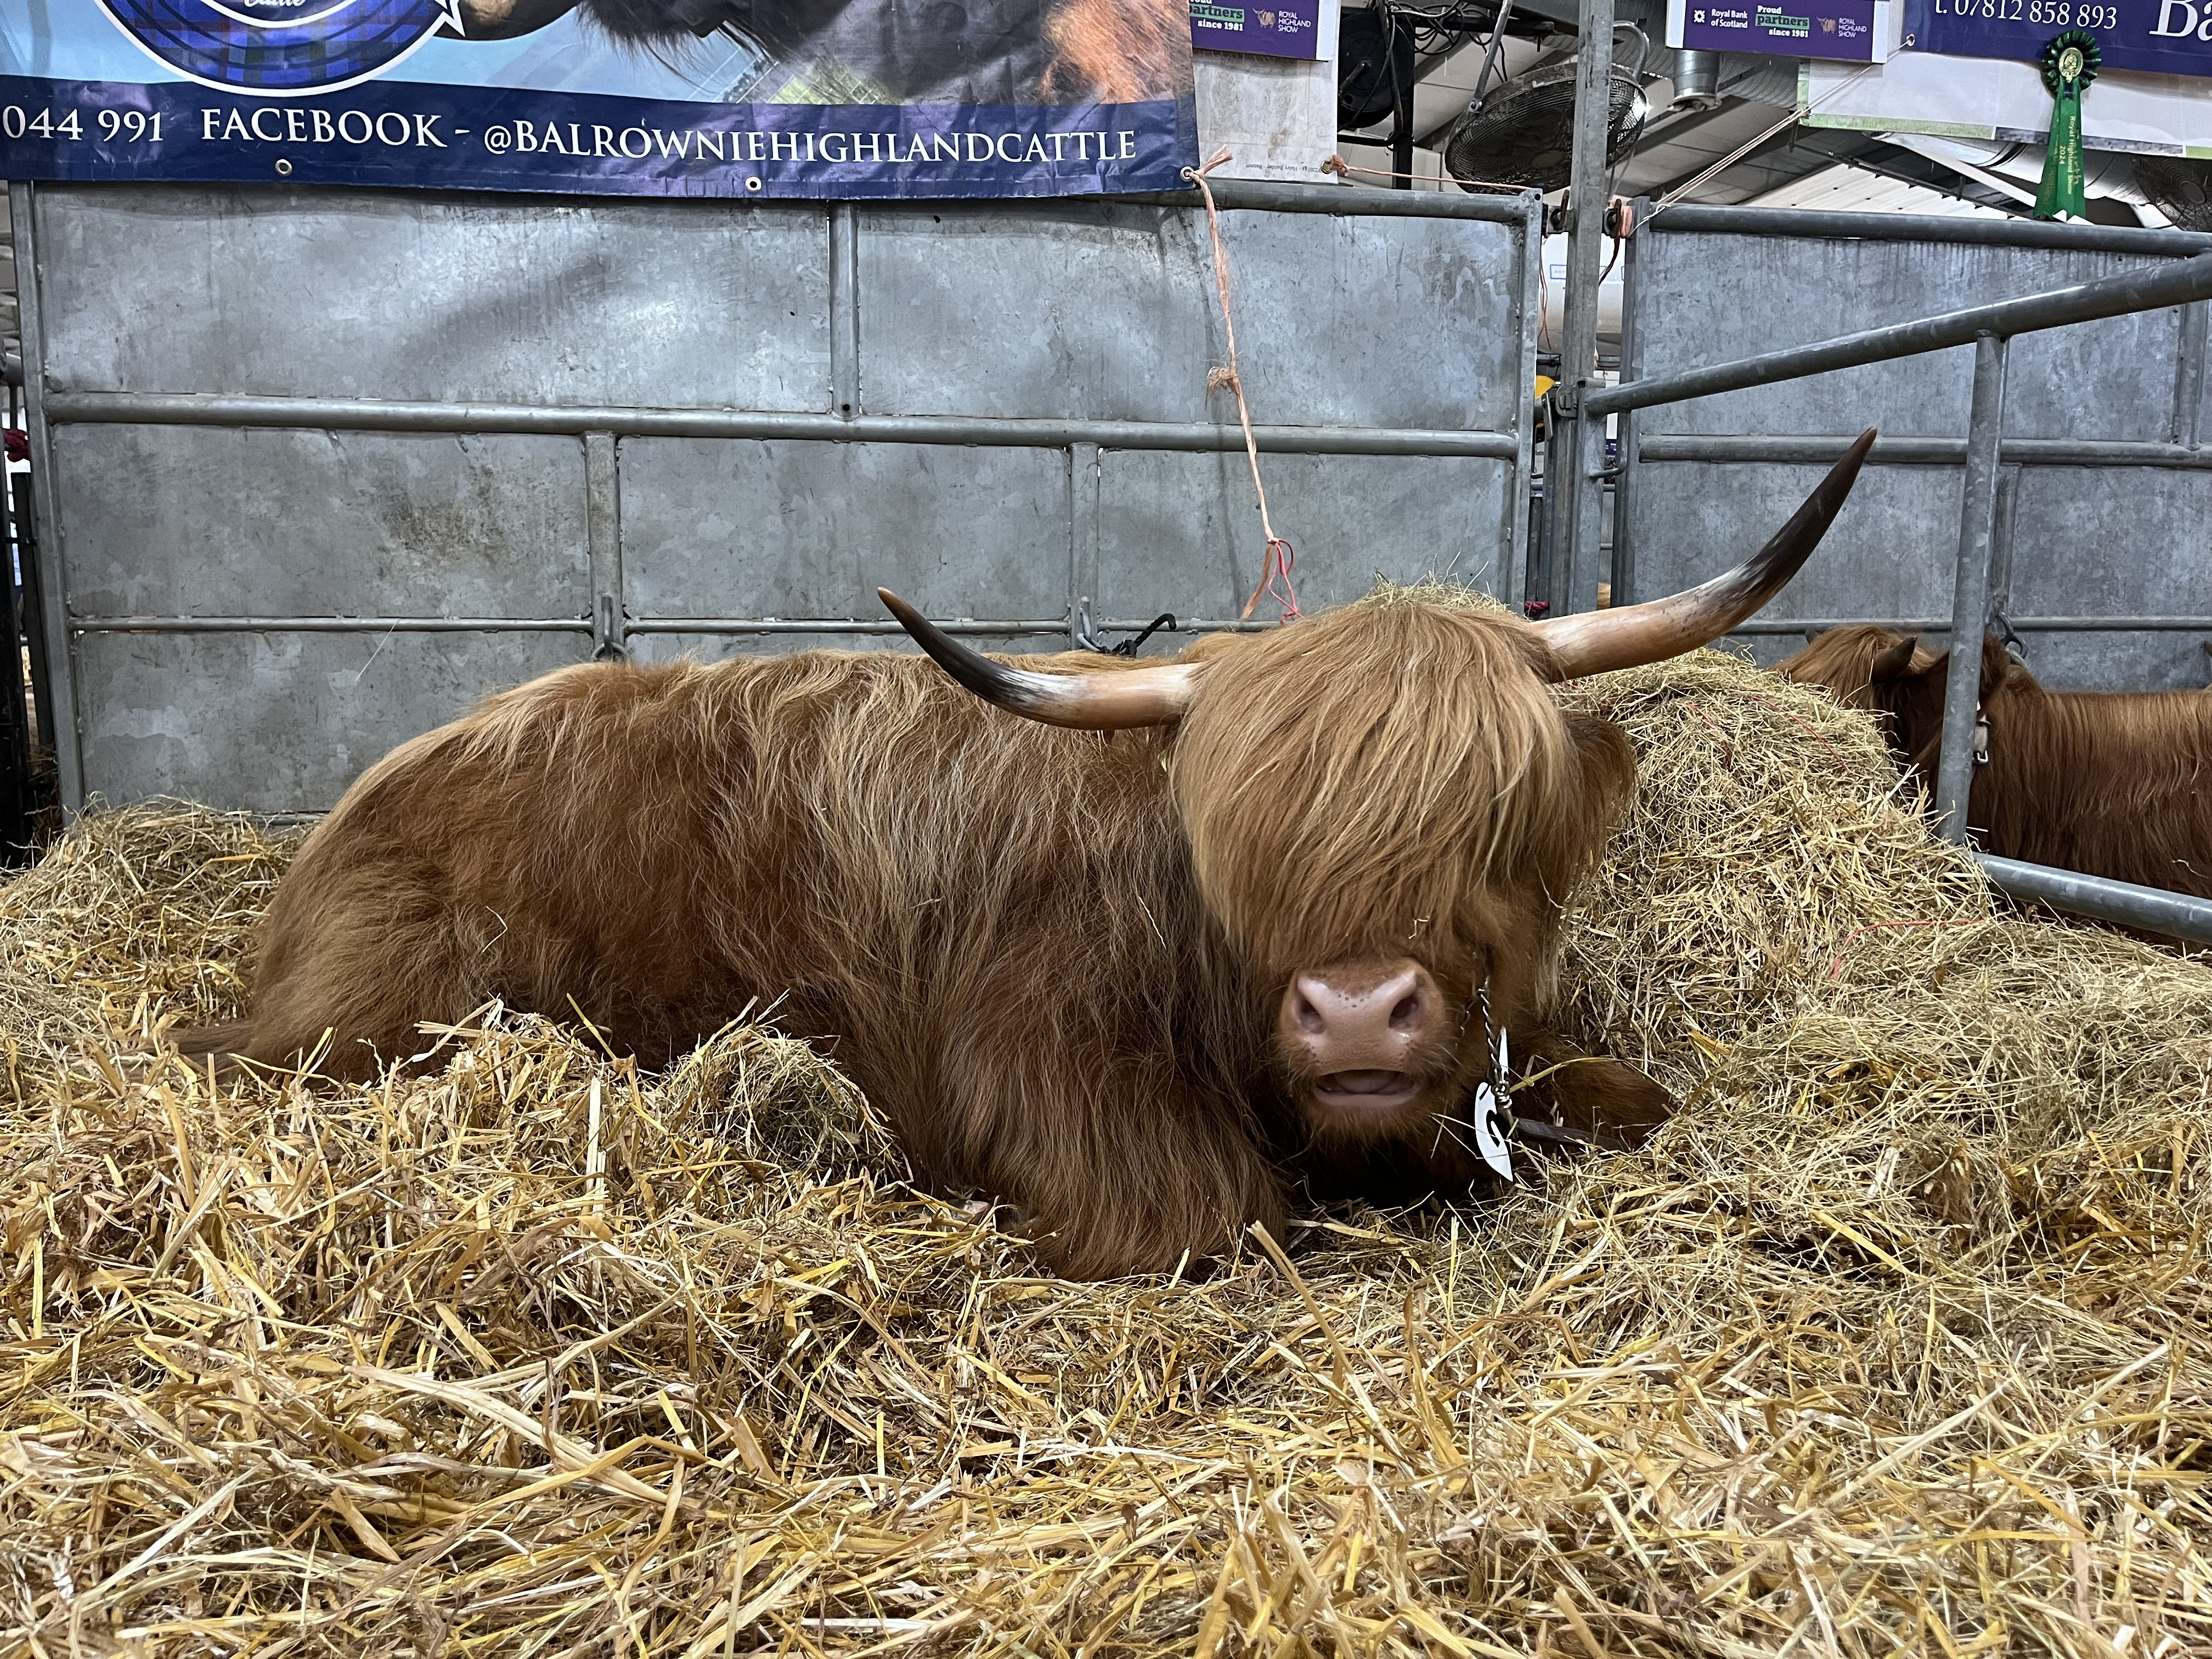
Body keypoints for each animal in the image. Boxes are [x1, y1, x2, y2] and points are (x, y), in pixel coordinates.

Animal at [176, 434, 1874, 1280]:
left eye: (1498, 818)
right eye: (1239, 842)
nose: (1356, 1015)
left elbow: (1639, 1105)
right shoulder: (1064, 1096)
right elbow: (1215, 1219)